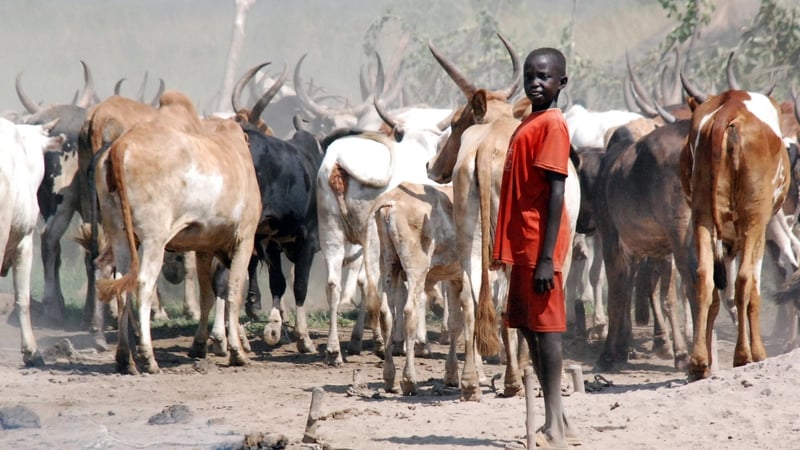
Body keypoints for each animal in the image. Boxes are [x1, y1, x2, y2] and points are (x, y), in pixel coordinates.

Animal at [680, 89, 790, 380]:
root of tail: (728, 111)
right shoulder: (758, 229)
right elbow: (752, 289)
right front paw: (756, 353)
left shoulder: (727, 242)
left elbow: (718, 298)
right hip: (754, 216)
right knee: (743, 281)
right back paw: (744, 355)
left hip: (703, 216)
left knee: (703, 277)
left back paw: (698, 362)